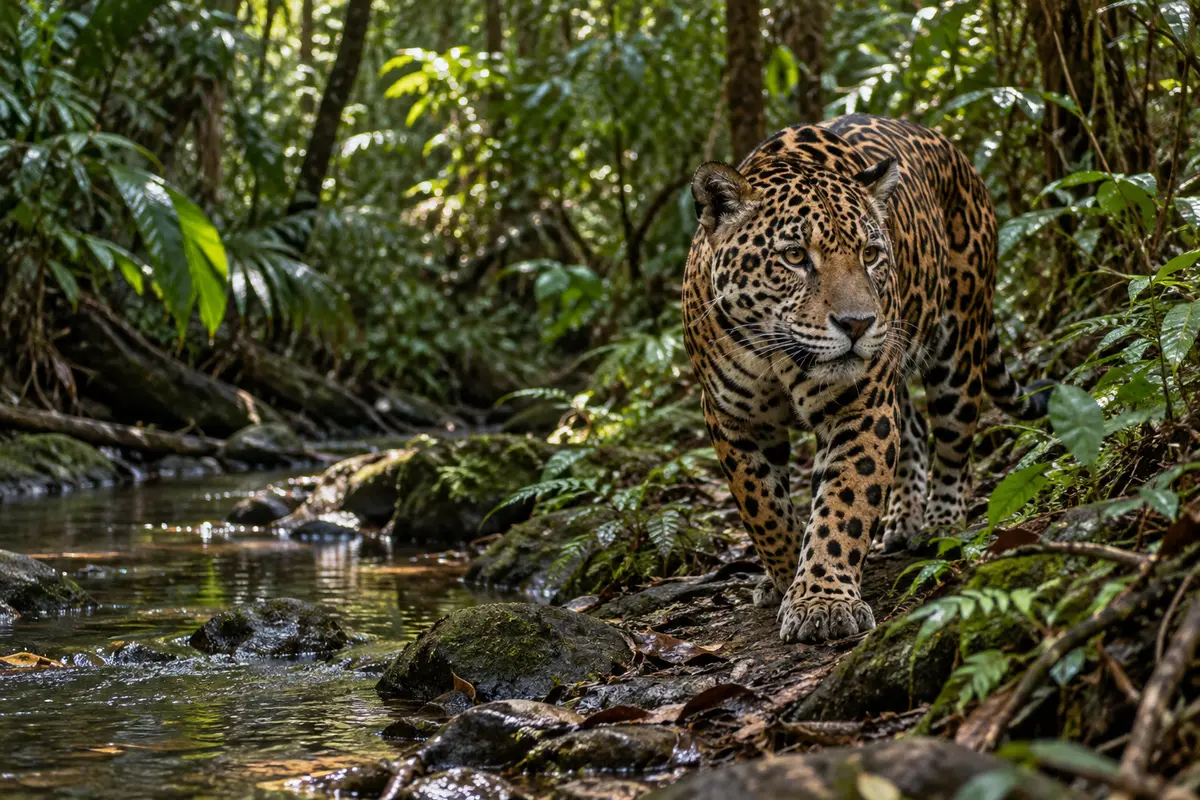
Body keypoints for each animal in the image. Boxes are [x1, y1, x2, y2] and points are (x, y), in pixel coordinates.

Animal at [682, 114, 1052, 644]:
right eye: (794, 255)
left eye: (872, 253)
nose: (857, 324)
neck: (778, 354)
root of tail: (952, 149)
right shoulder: (732, 418)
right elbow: (763, 506)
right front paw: (784, 574)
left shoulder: (860, 408)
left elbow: (843, 504)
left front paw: (821, 600)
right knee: (914, 428)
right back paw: (902, 519)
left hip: (959, 345)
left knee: (954, 442)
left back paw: (938, 525)